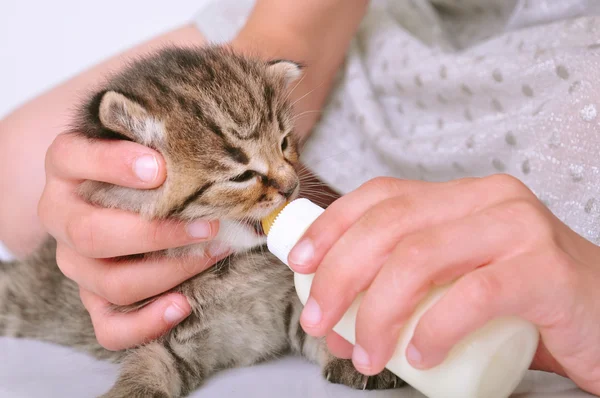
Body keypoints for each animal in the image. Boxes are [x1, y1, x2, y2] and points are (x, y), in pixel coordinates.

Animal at [0, 45, 406, 396]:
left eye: (284, 143)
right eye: (242, 176)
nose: (291, 187)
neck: (231, 270)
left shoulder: (289, 299)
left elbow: (320, 320)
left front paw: (354, 357)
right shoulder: (160, 332)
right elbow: (148, 365)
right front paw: (135, 391)